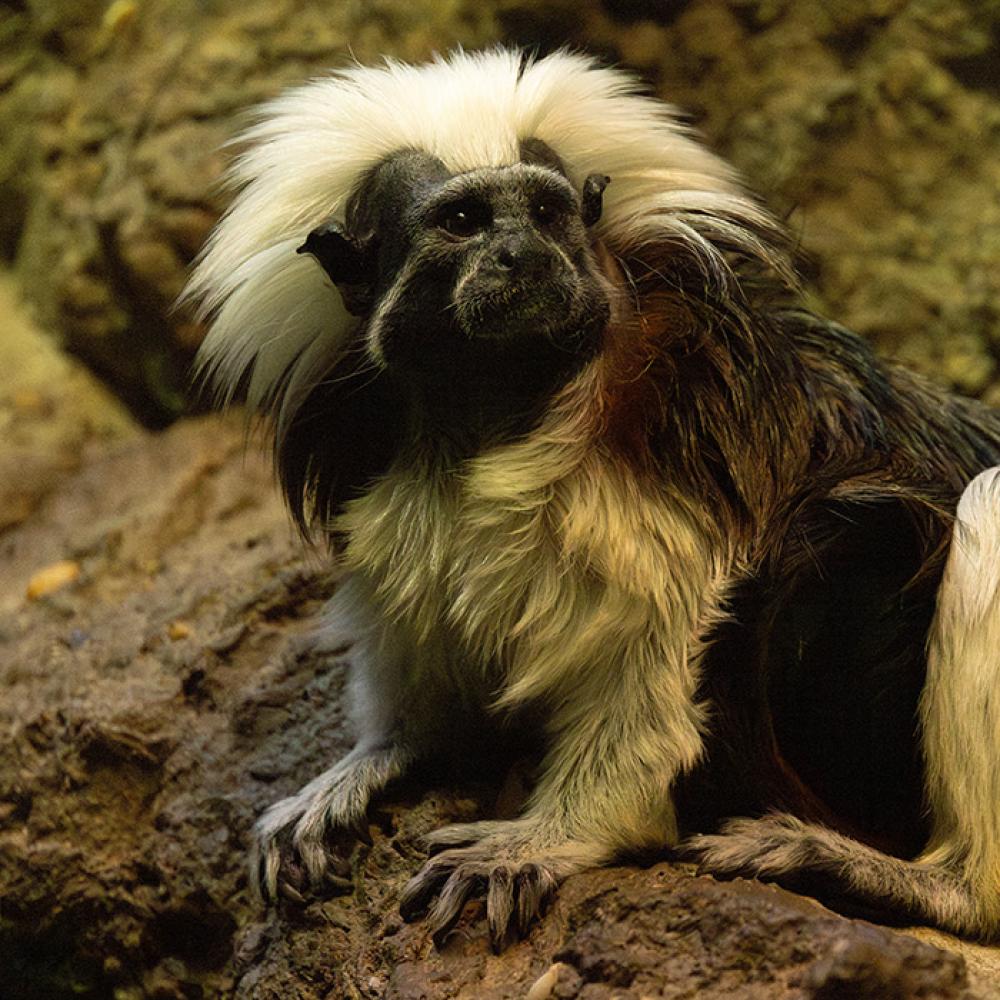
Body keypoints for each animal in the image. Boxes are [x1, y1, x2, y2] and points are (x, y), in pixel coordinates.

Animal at [184, 48, 1000, 952]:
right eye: (463, 220)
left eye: (547, 211)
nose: (525, 255)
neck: (497, 416)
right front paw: (368, 763)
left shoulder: (673, 470)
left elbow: (654, 668)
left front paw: (543, 838)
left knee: (982, 509)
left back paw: (912, 879)